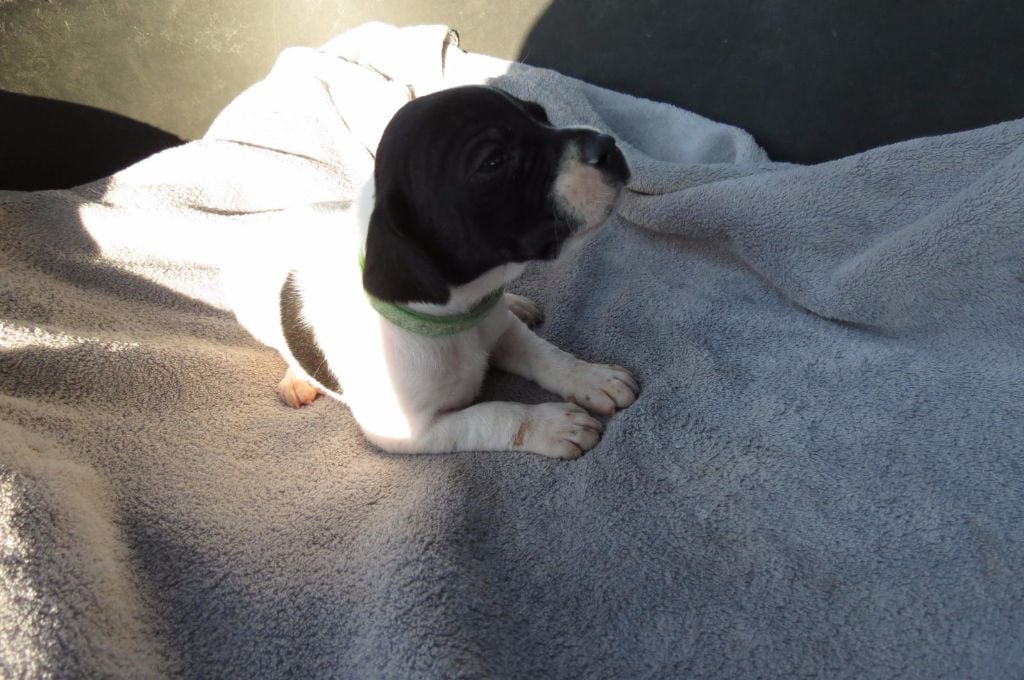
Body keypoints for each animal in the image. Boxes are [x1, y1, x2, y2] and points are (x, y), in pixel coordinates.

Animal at [227, 85, 638, 459]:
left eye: (541, 115)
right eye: (494, 161)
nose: (608, 146)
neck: (459, 316)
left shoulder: (504, 332)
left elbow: (547, 355)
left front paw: (592, 377)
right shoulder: (407, 431)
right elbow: (493, 415)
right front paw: (552, 425)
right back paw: (296, 377)